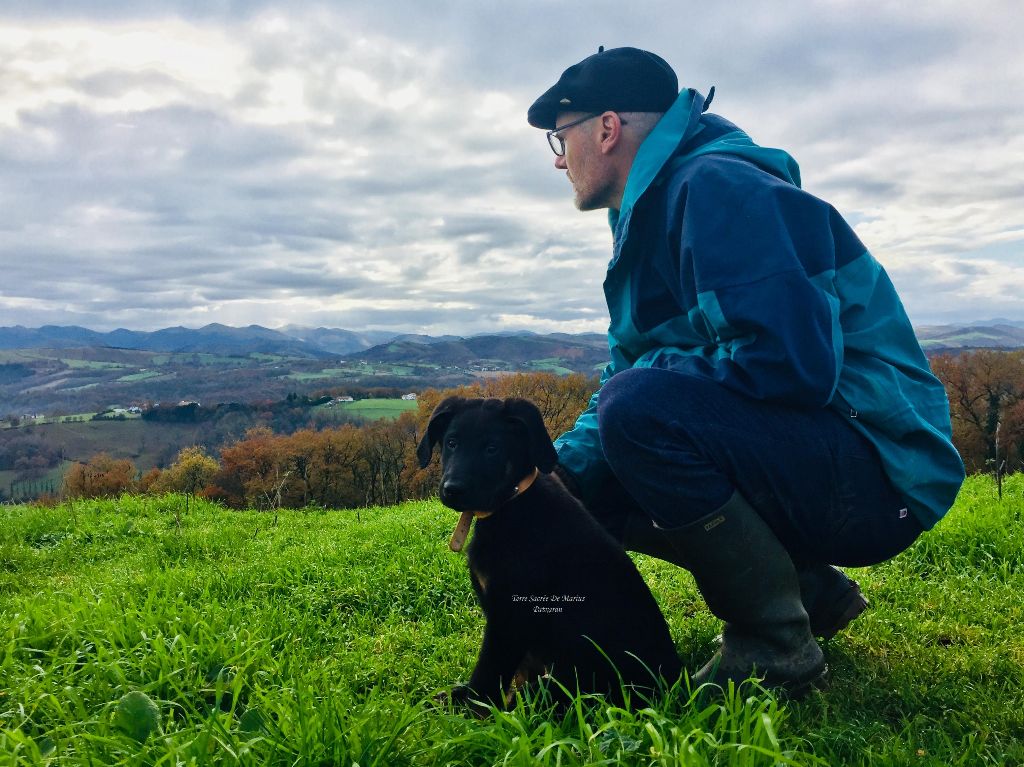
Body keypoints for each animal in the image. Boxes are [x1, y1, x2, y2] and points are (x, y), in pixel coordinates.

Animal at [415, 397, 679, 708]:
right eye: (451, 443)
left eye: (492, 449)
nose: (452, 490)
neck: (511, 503)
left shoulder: (510, 615)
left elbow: (488, 675)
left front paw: (474, 708)